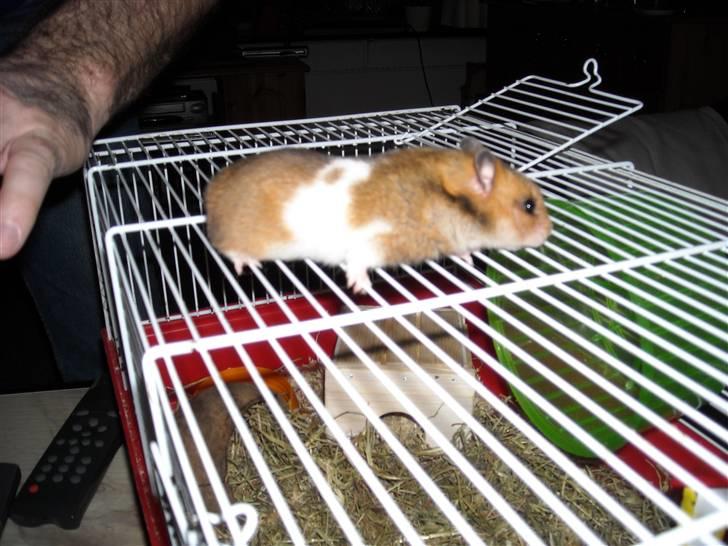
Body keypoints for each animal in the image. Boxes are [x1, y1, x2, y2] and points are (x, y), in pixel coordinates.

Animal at [205, 137, 552, 293]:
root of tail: (211, 190)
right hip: (242, 238)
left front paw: (467, 258)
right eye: (529, 206)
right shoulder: (378, 239)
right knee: (229, 250)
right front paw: (360, 287)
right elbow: (360, 260)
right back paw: (248, 265)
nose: (548, 233)